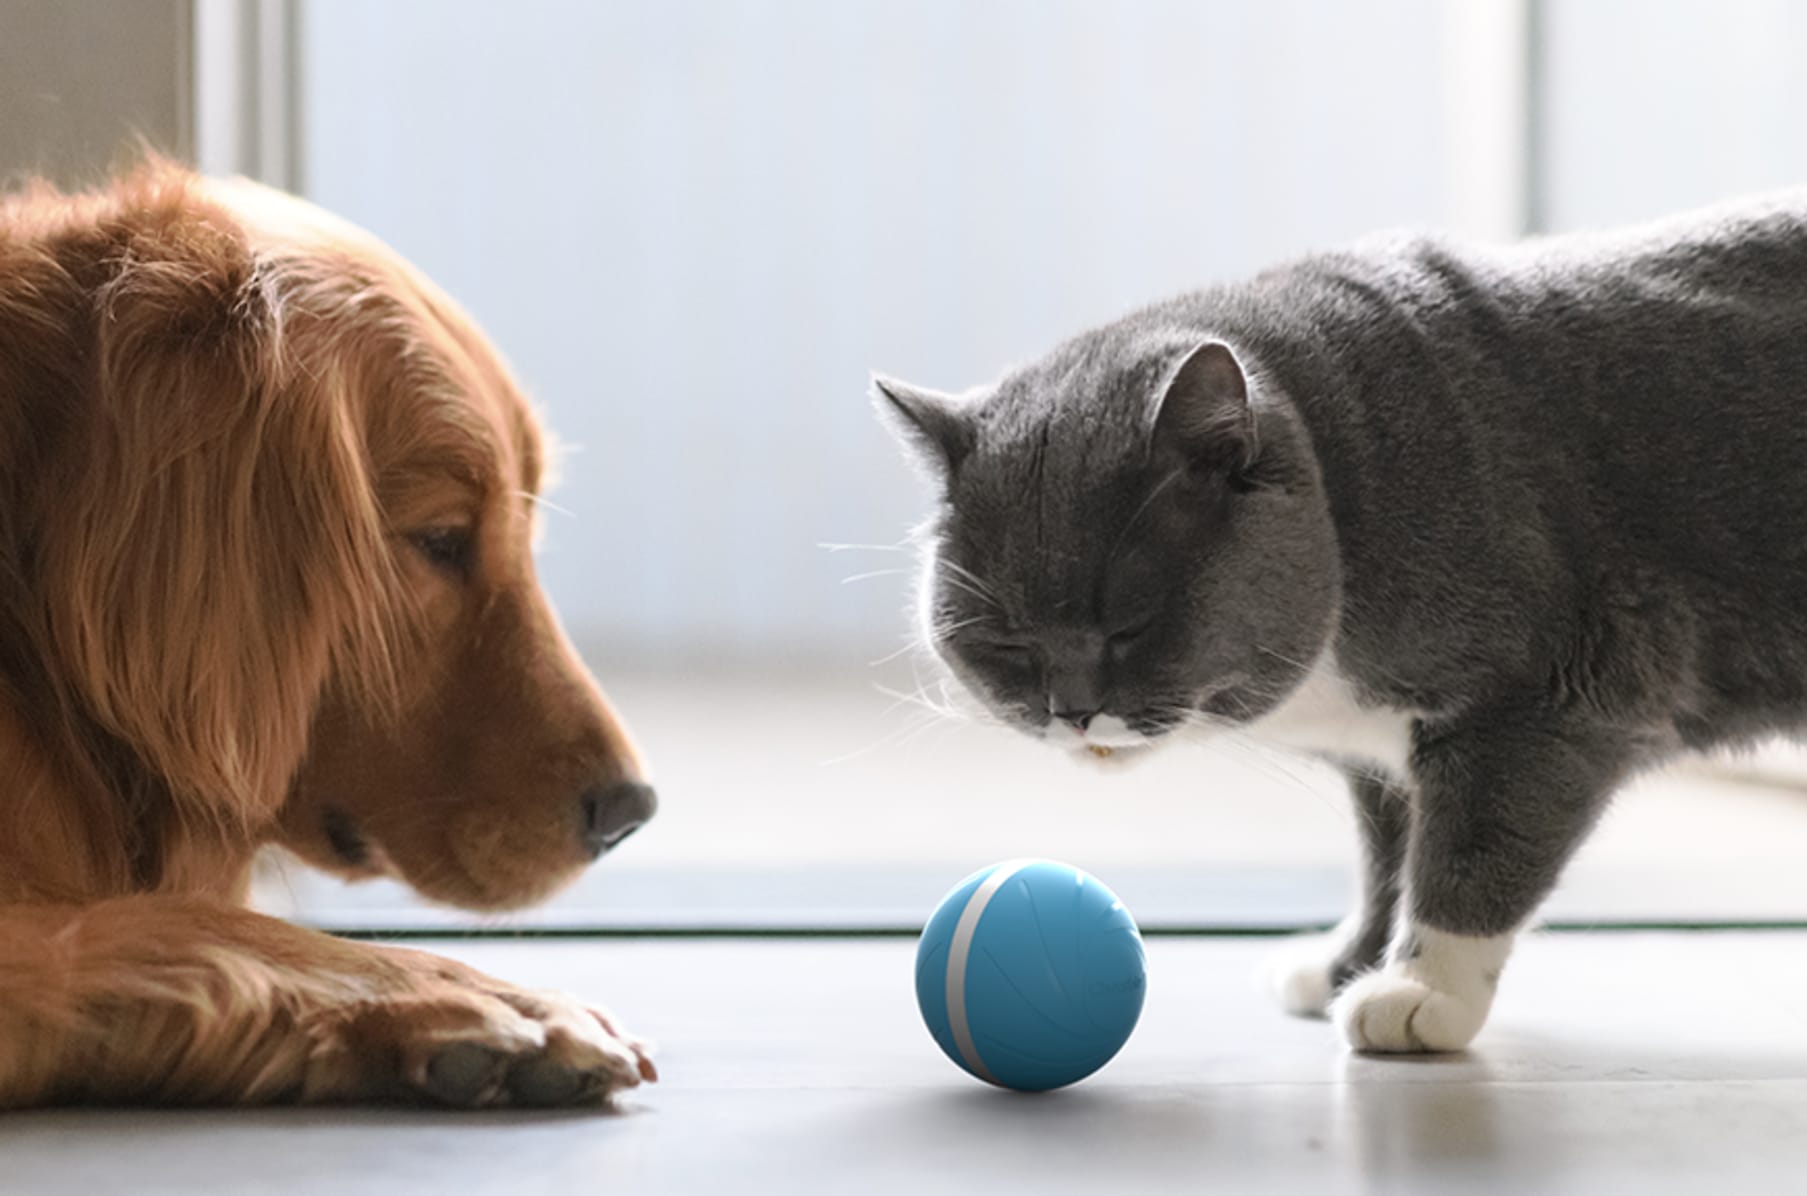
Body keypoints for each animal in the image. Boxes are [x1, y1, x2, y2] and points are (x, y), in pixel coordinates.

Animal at [870, 196, 1807, 1062]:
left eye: (1131, 626)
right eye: (1006, 643)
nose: (1070, 711)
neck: (1354, 485)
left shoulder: (1541, 701)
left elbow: (1469, 852)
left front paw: (1419, 993)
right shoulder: (1383, 759)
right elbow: (1387, 859)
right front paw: (1344, 965)